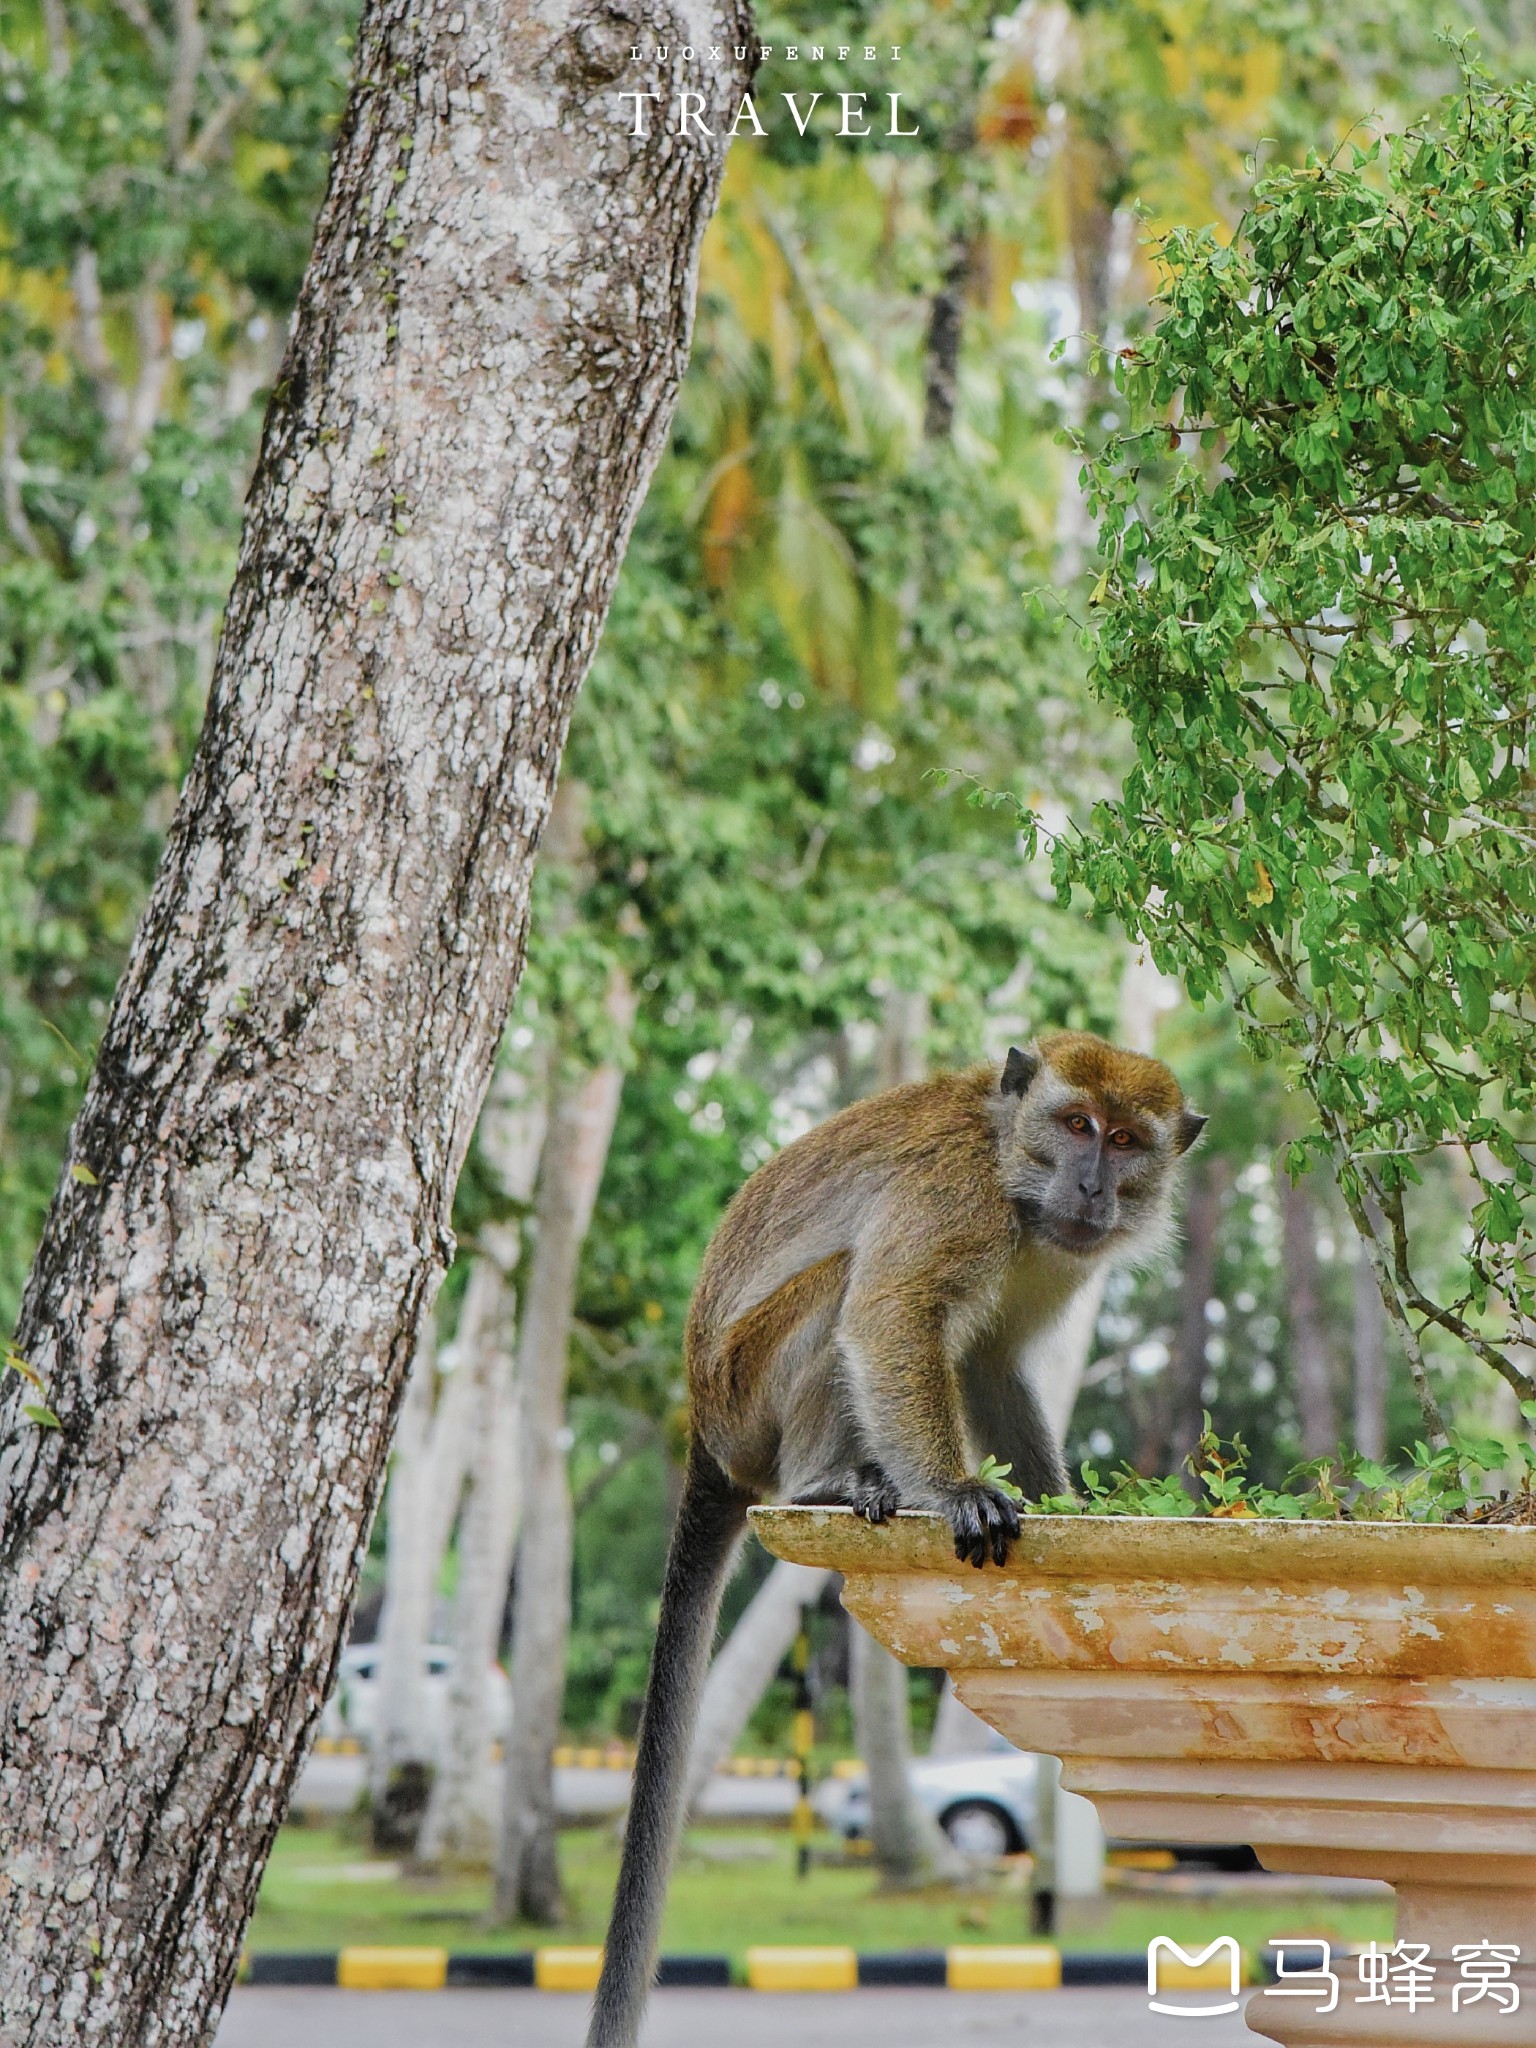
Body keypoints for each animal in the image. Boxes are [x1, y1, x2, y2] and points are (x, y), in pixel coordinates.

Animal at [589, 1040, 1204, 2048]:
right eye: (1076, 1124)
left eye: (1125, 1141)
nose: (1090, 1185)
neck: (1010, 1169)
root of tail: (705, 1425)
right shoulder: (954, 1196)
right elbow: (892, 1313)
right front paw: (956, 1491)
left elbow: (991, 1364)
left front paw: (1070, 1505)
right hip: (750, 1391)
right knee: (846, 1288)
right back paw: (828, 1481)